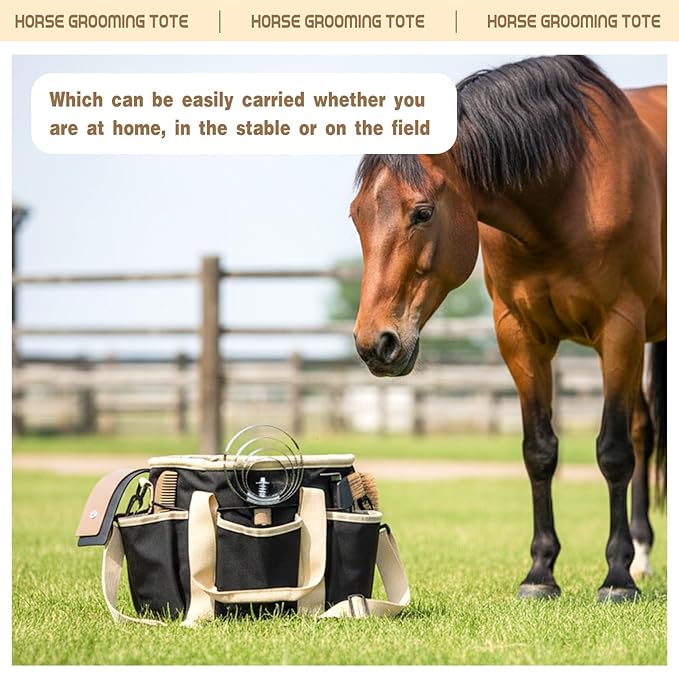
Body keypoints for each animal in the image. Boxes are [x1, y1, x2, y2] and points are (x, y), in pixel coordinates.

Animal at [350, 55, 666, 602]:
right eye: (356, 216)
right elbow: (539, 451)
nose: (376, 344)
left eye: (422, 212)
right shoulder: (519, 336)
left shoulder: (620, 329)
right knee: (646, 430)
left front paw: (617, 578)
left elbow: (613, 452)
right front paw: (540, 573)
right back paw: (645, 556)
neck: (566, 189)